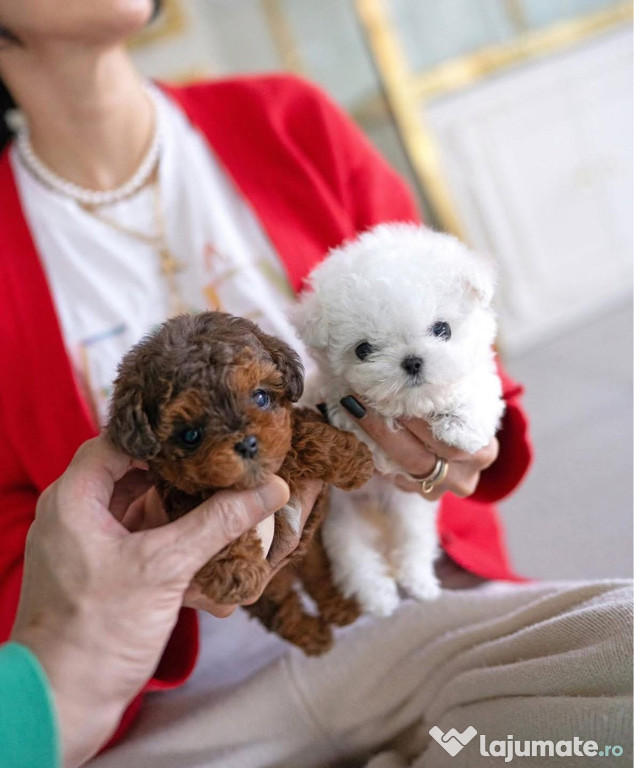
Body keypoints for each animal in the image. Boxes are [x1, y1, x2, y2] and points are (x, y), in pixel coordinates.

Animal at [106, 312, 372, 656]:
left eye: (260, 397)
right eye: (190, 435)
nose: (247, 444)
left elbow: (302, 431)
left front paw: (354, 459)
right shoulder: (185, 501)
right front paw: (234, 571)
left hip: (310, 551)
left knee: (319, 575)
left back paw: (339, 606)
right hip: (271, 589)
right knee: (281, 609)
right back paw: (311, 634)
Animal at [292, 224, 504, 616]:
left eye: (442, 329)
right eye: (363, 349)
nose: (412, 361)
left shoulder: (479, 378)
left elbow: (476, 390)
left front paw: (459, 426)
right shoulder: (334, 401)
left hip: (410, 511)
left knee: (414, 542)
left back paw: (419, 584)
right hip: (342, 517)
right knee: (354, 557)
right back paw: (379, 598)